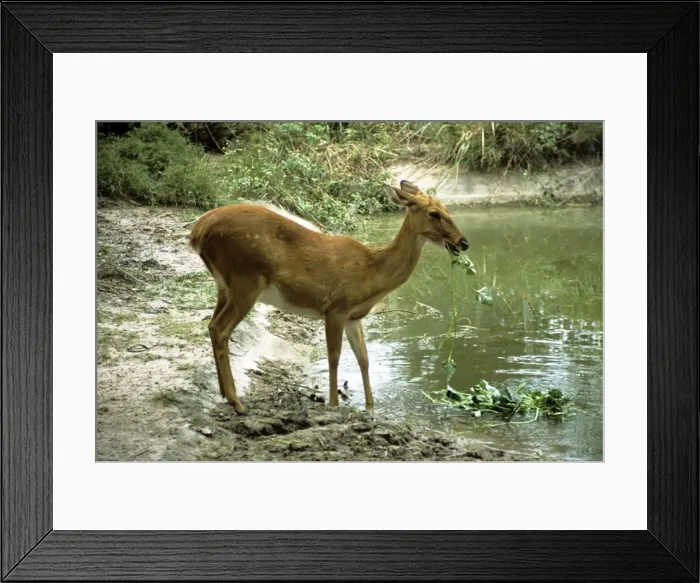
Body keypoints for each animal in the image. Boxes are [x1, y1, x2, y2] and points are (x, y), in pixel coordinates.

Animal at [189, 180, 469, 414]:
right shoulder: (336, 307)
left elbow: (364, 359)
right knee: (221, 328)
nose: (463, 242)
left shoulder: (354, 316)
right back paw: (237, 403)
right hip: (245, 279)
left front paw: (370, 406)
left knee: (211, 326)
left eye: (446, 209)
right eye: (434, 213)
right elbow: (334, 357)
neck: (372, 271)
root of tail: (197, 232)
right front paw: (334, 404)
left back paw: (224, 394)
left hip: (225, 285)